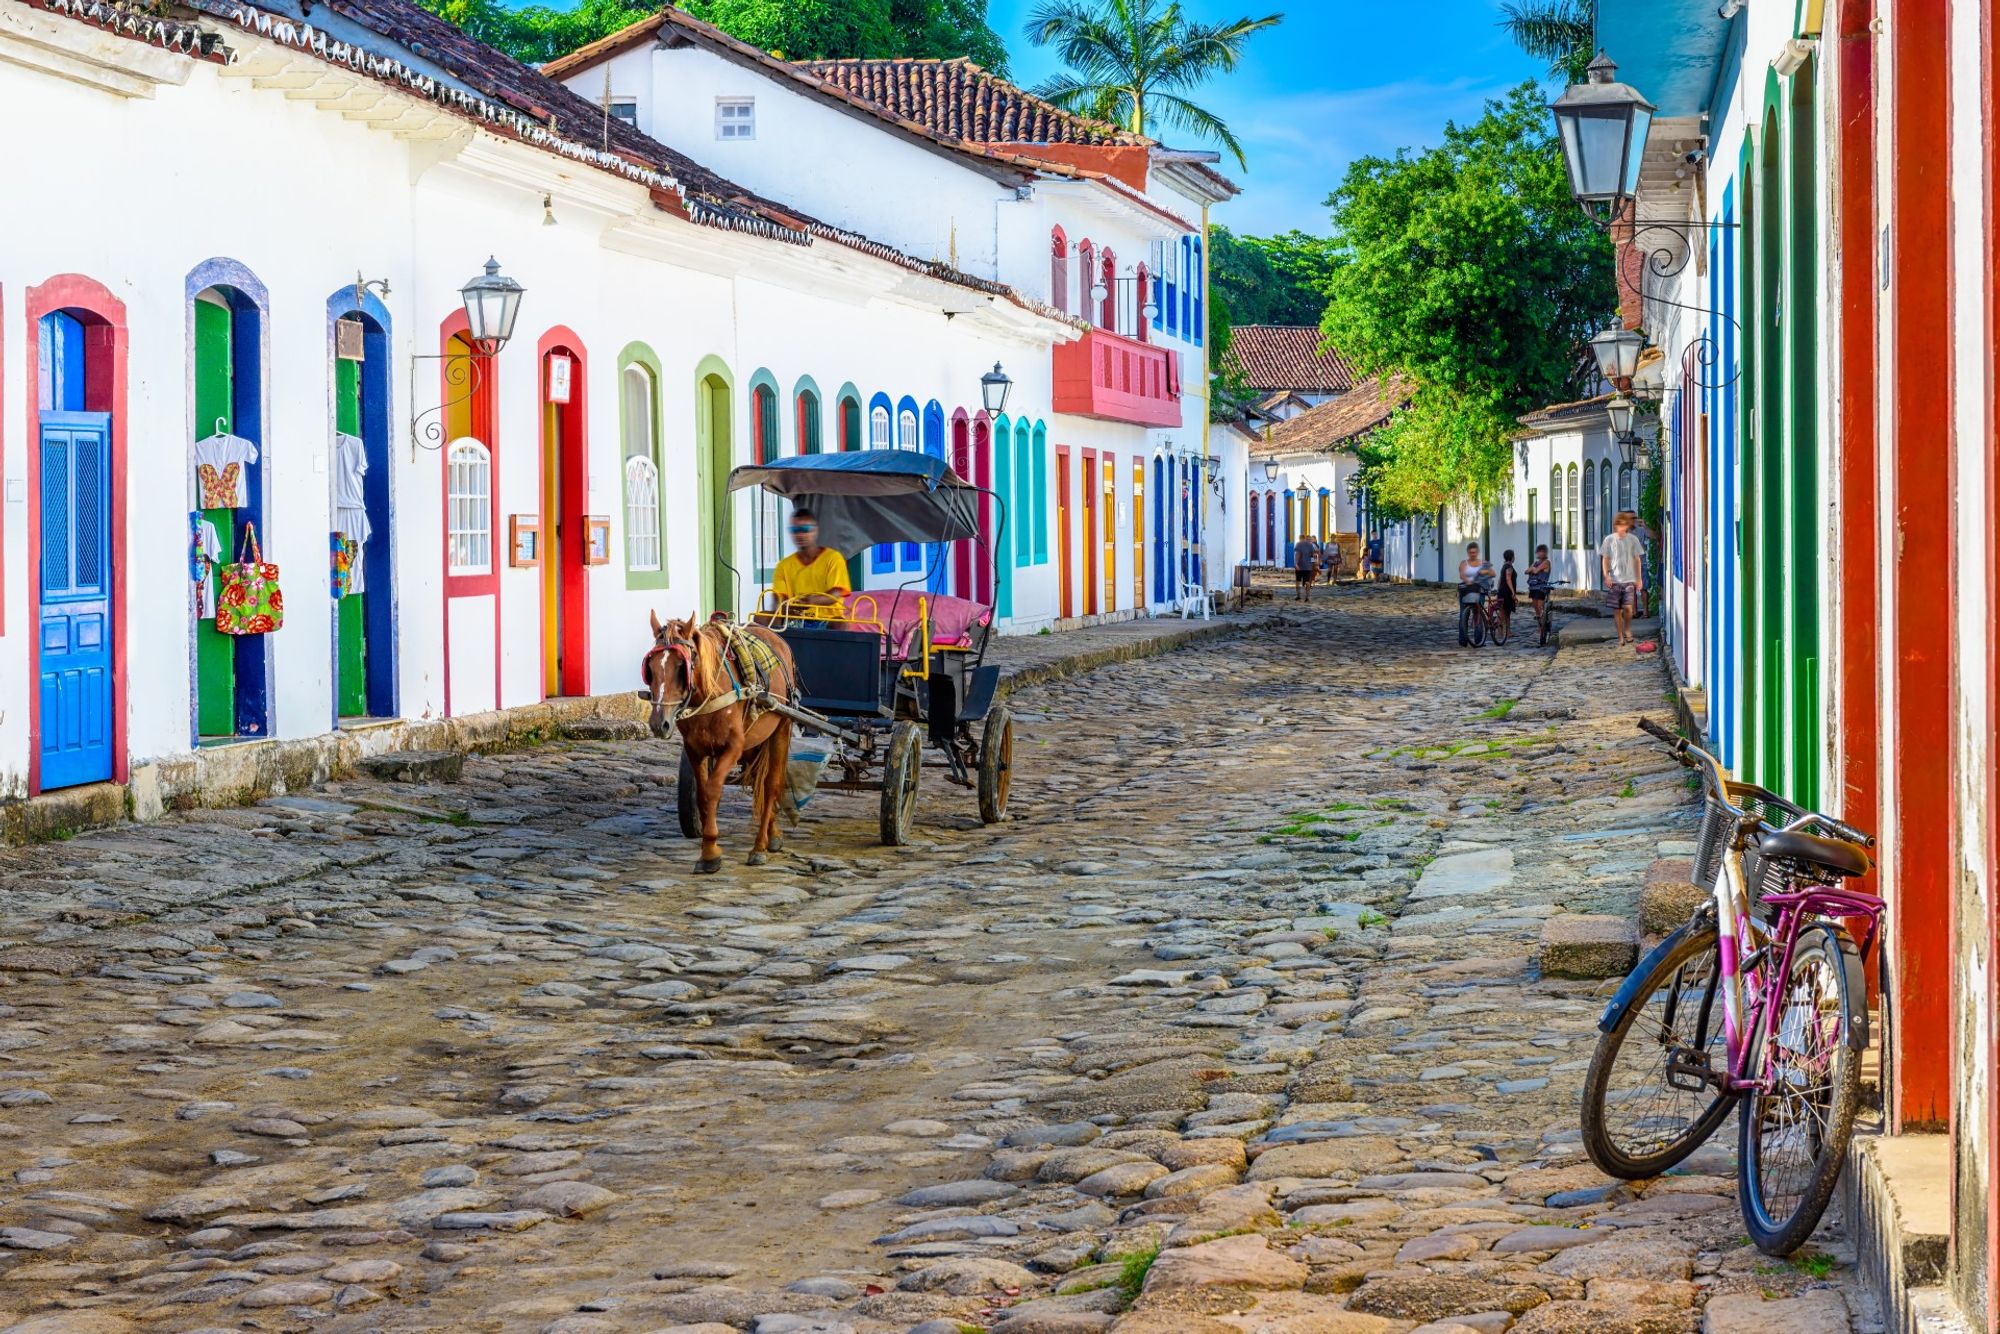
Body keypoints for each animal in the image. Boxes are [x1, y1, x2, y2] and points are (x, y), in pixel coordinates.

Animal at [644, 612, 792, 876]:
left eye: (681, 666)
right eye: (650, 667)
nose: (659, 723)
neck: (710, 693)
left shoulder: (732, 748)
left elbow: (713, 790)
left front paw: (711, 853)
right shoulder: (695, 750)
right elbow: (703, 796)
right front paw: (708, 849)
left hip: (781, 728)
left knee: (771, 784)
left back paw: (759, 847)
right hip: (755, 742)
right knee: (760, 781)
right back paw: (773, 834)